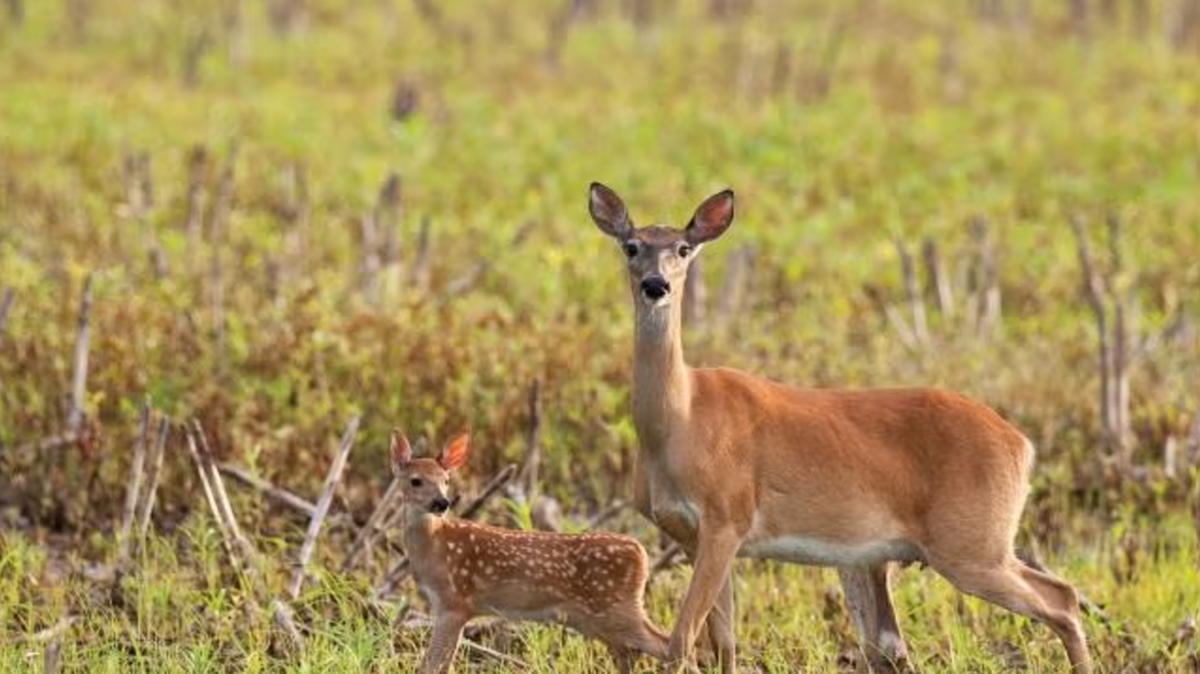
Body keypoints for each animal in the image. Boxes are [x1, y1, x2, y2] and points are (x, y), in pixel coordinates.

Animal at [391, 429, 671, 674]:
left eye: (446, 480)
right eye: (415, 481)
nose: (441, 502)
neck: (434, 549)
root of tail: (641, 552)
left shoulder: (455, 602)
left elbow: (434, 665)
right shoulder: (445, 606)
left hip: (616, 608)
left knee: (665, 644)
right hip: (603, 619)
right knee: (634, 651)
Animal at [586, 182, 1091, 674]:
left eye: (684, 248)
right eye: (632, 246)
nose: (656, 285)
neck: (679, 422)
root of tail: (1021, 444)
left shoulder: (727, 516)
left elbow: (680, 642)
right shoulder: (696, 535)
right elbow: (723, 644)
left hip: (972, 543)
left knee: (1061, 599)